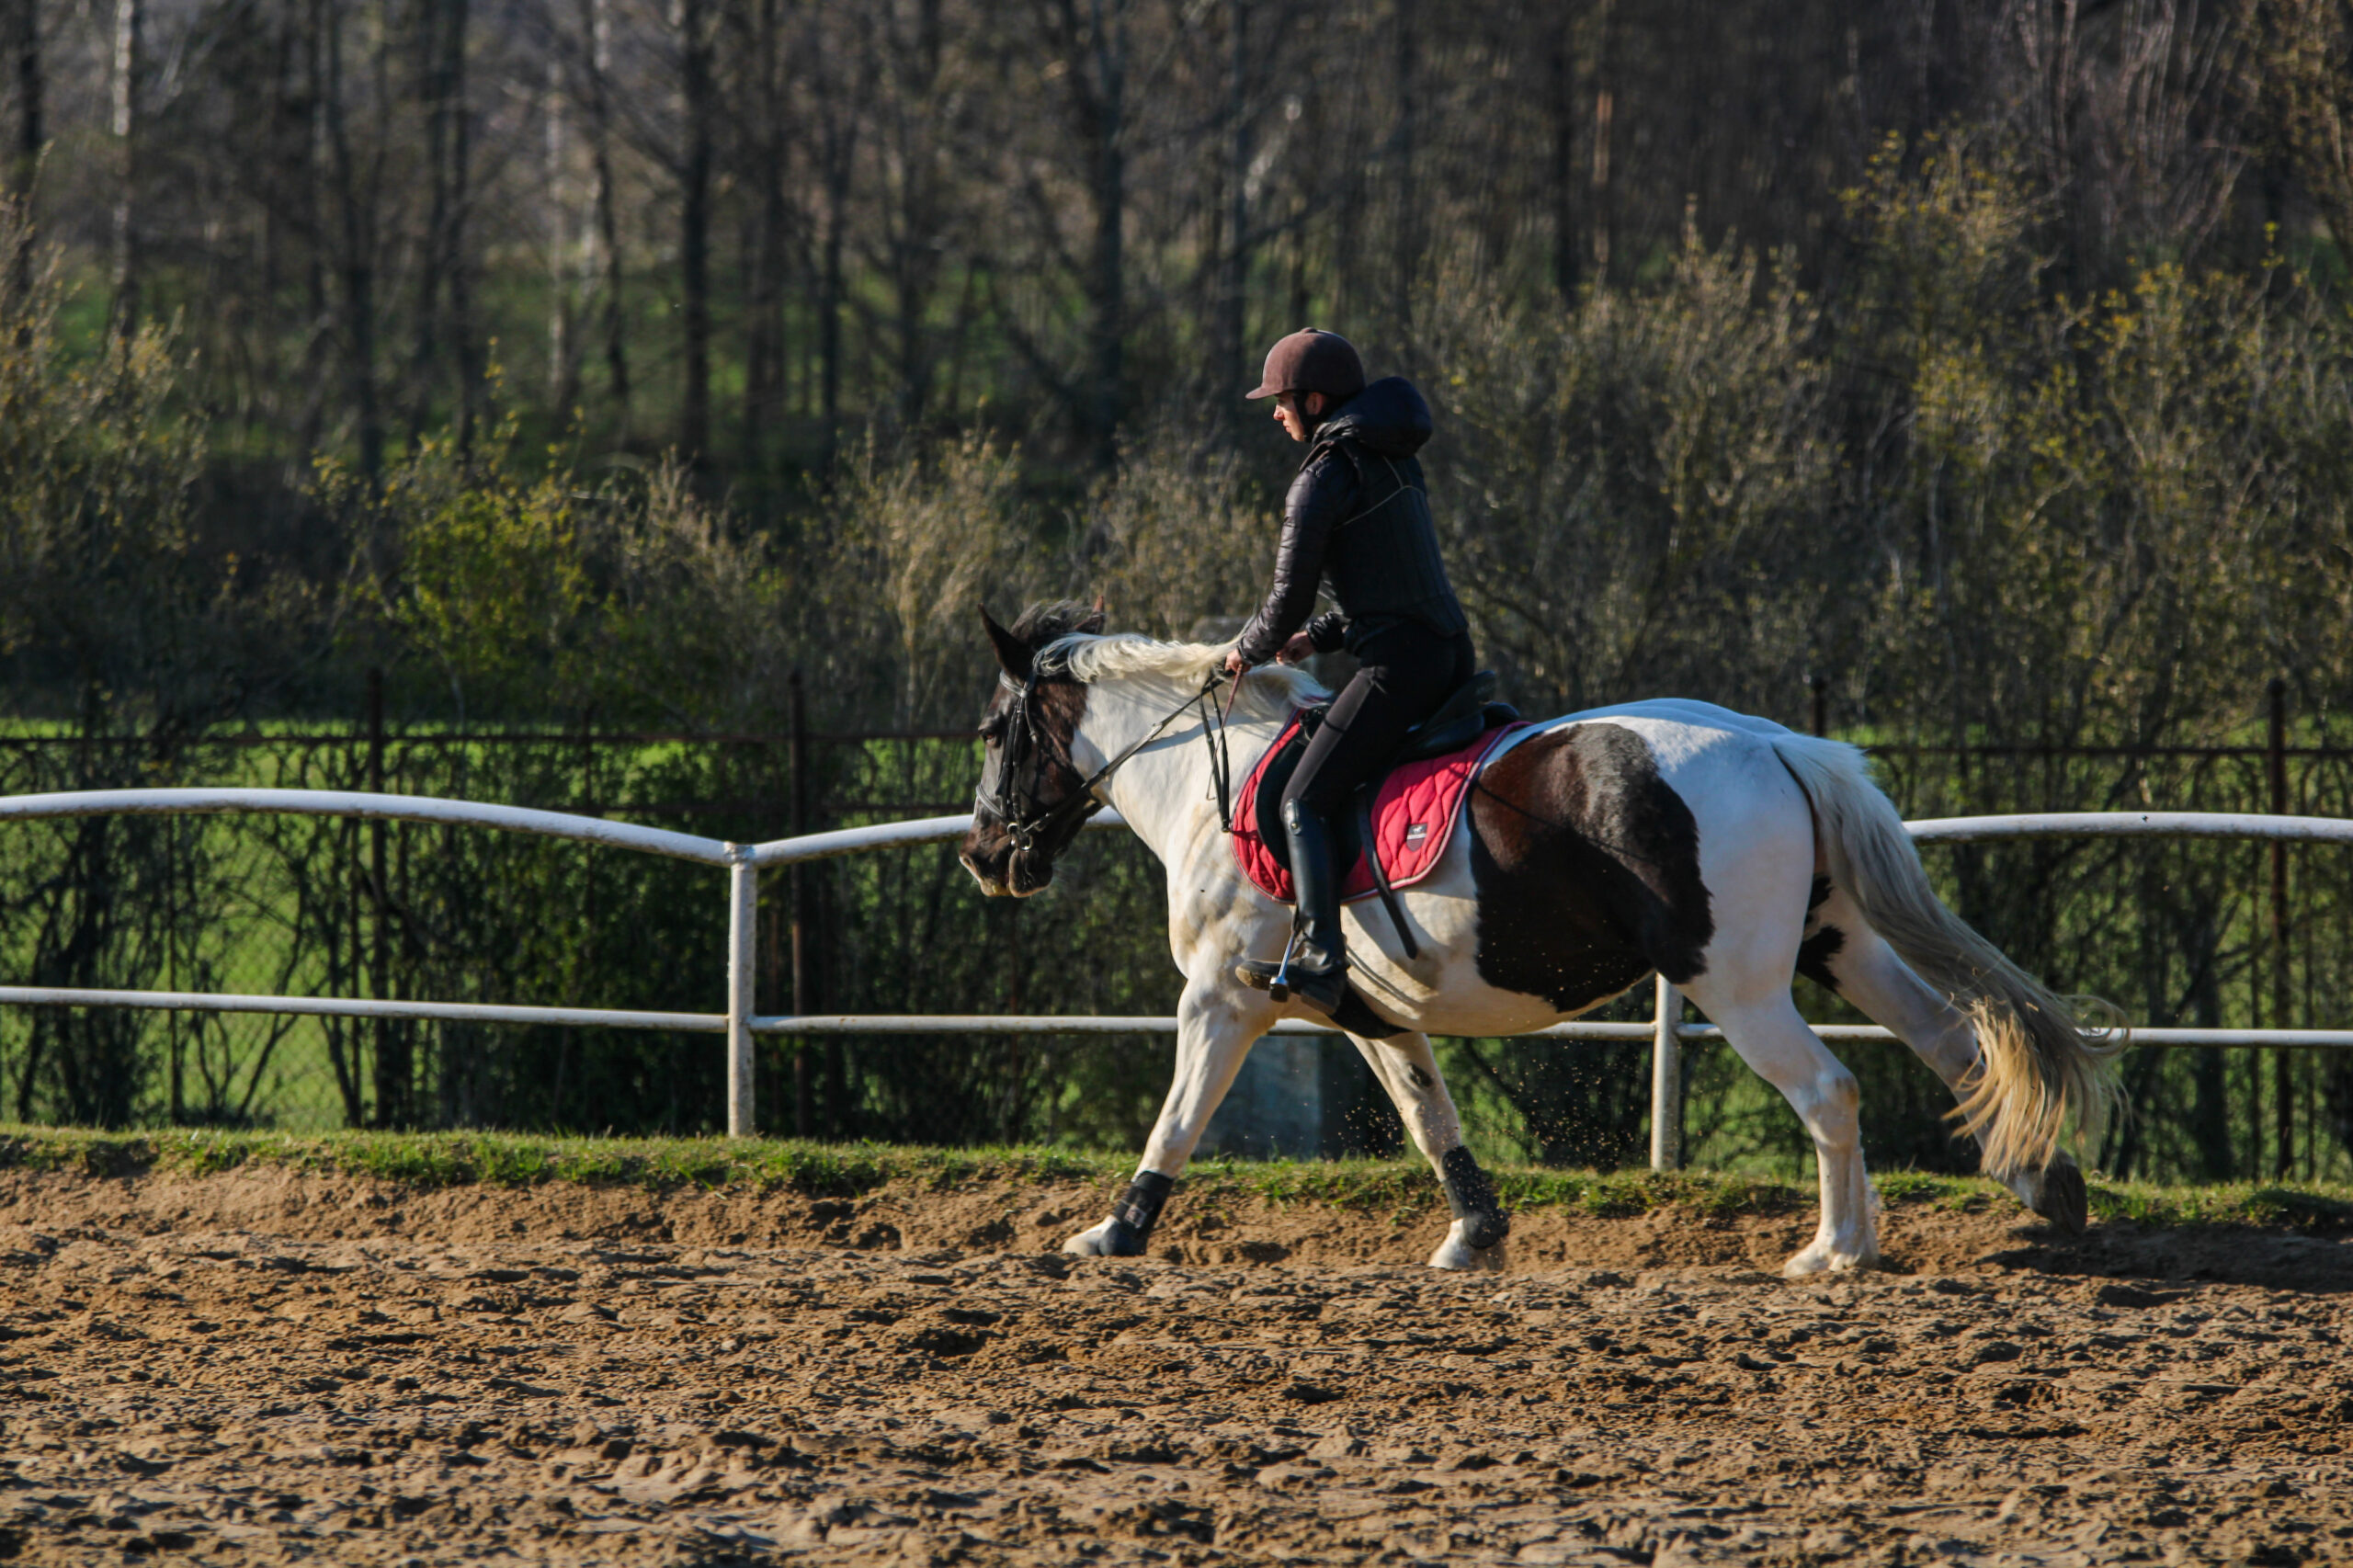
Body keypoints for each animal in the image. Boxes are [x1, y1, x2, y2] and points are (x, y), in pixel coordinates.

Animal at [950, 597, 2118, 1271]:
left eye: (993, 729)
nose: (984, 855)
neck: (1211, 776)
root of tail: (1777, 742)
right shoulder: (1368, 1006)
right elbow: (1429, 1119)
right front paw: (1474, 1234)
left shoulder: (1222, 998)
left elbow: (1178, 1118)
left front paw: (1114, 1230)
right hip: (1835, 945)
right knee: (1954, 1043)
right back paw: (2038, 1186)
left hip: (1734, 982)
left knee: (1830, 1088)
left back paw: (1834, 1249)